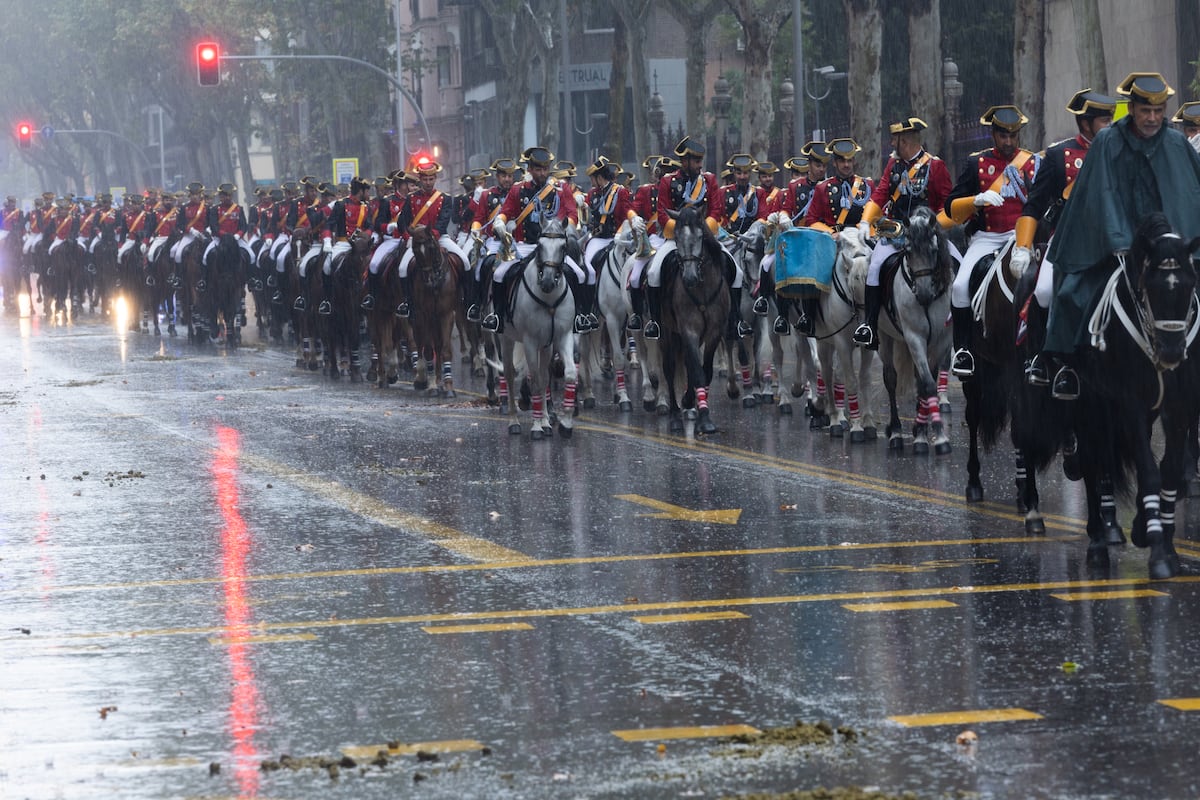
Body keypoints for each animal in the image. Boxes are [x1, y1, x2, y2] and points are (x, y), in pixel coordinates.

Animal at [403, 225, 458, 393]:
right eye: (414, 250)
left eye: (431, 248)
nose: (429, 279)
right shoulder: (423, 314)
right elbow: (426, 348)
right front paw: (431, 383)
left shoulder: (447, 314)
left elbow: (445, 349)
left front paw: (448, 385)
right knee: (420, 342)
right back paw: (422, 378)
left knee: (438, 346)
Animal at [499, 215, 578, 438]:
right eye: (540, 245)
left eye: (563, 246)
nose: (548, 282)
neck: (549, 299)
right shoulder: (530, 341)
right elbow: (534, 381)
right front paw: (536, 426)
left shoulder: (563, 337)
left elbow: (567, 374)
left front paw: (564, 423)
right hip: (506, 338)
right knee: (509, 374)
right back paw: (514, 420)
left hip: (547, 346)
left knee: (544, 377)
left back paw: (545, 420)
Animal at [657, 203, 729, 434]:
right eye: (676, 237)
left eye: (700, 236)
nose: (689, 277)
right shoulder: (688, 330)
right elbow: (697, 372)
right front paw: (704, 418)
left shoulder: (714, 331)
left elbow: (704, 371)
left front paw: (693, 403)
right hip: (667, 332)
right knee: (669, 369)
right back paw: (674, 415)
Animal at [878, 206, 950, 455]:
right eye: (908, 252)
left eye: (934, 250)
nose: (925, 294)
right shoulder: (914, 337)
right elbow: (927, 384)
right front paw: (938, 435)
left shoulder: (940, 340)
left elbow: (927, 382)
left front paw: (921, 432)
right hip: (885, 337)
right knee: (890, 378)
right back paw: (896, 431)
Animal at [1070, 212, 1200, 575]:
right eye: (1151, 287)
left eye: (1189, 285)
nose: (1172, 352)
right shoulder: (1131, 404)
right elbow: (1149, 470)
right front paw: (1157, 551)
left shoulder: (1178, 407)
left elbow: (1167, 469)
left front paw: (1161, 537)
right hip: (1090, 405)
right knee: (1093, 463)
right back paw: (1098, 544)